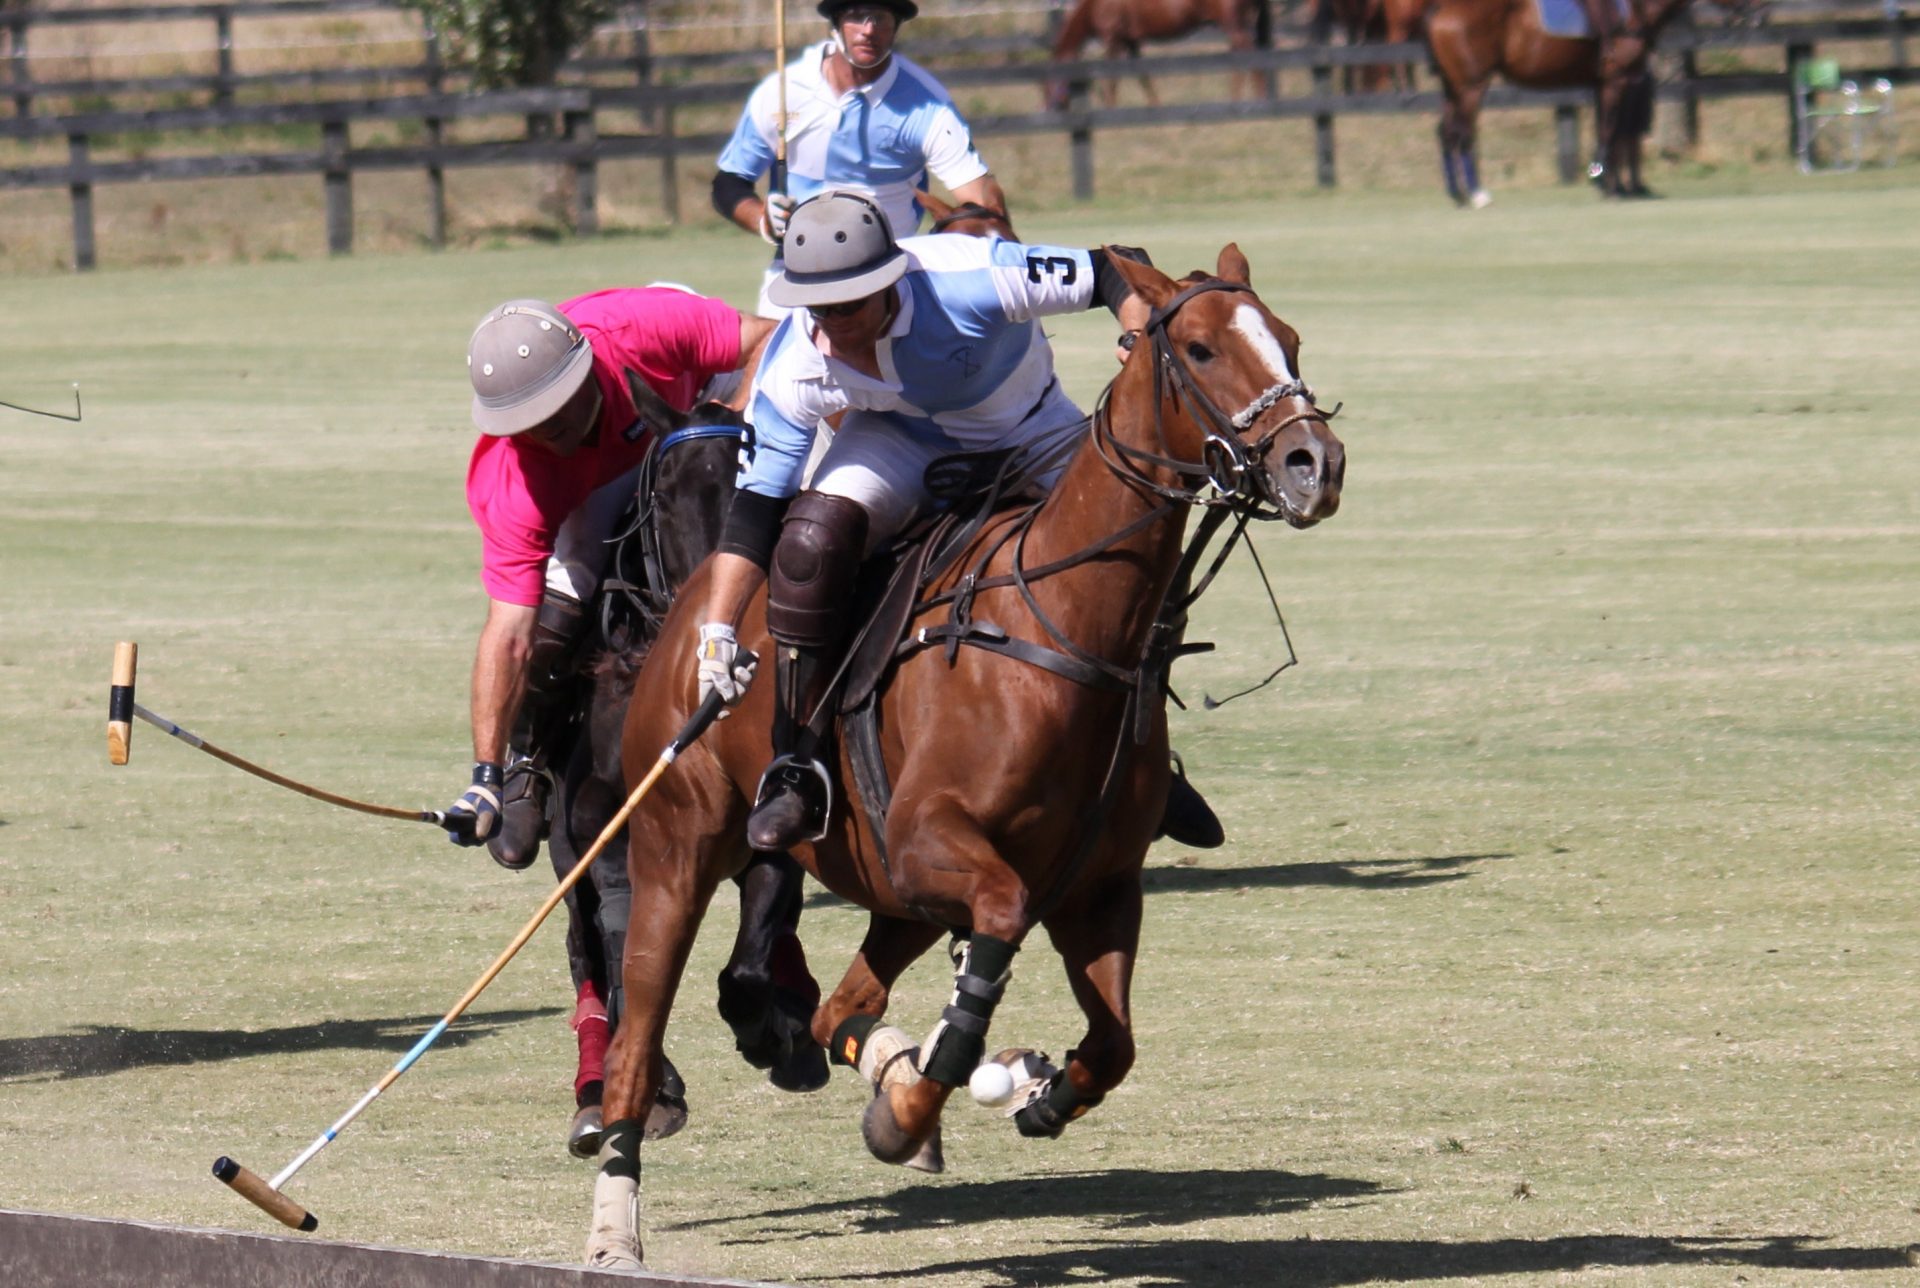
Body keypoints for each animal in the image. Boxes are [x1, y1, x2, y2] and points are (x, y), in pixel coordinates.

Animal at [583, 244, 1351, 1266]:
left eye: (1290, 338)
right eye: (1197, 348)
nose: (1315, 464)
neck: (1065, 628)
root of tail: (702, 594)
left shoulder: (1100, 886)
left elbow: (1112, 1044)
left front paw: (1027, 1092)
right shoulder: (936, 846)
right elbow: (990, 949)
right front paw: (924, 1100)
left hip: (890, 892)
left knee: (836, 1007)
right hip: (679, 848)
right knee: (637, 1043)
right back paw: (614, 1226)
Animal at [1052, 0, 1274, 108]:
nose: (1056, 106)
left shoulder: (1113, 40)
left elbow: (1112, 77)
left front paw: (1110, 107)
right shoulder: (1131, 42)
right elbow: (1143, 75)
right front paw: (1155, 104)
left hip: (1234, 26)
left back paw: (1258, 98)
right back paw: (1238, 99)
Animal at [1428, 0, 1712, 204]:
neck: (1639, 9)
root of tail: (1441, 10)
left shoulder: (1603, 83)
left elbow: (1609, 132)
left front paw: (1612, 184)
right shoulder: (1616, 79)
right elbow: (1610, 131)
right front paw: (1605, 184)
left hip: (1452, 87)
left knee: (1446, 132)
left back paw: (1457, 194)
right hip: (1470, 86)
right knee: (1462, 132)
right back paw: (1476, 193)